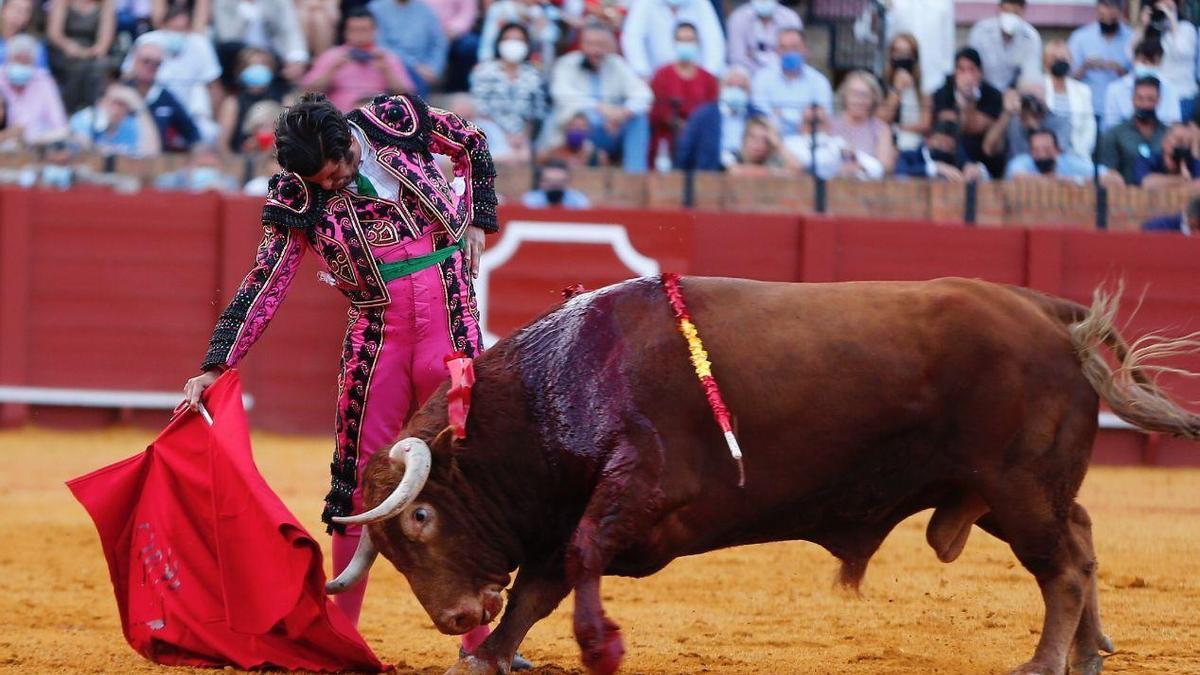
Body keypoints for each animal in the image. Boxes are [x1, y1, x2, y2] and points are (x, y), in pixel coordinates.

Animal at [328, 275, 1200, 672]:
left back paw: (1047, 660)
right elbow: (541, 583)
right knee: (1081, 537)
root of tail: (1051, 313)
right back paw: (1090, 652)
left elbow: (573, 562)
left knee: (1064, 565)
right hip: (1002, 492)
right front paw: (486, 653)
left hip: (1018, 487)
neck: (563, 379)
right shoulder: (576, 510)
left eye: (420, 517)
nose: (454, 615)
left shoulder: (636, 490)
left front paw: (595, 643)